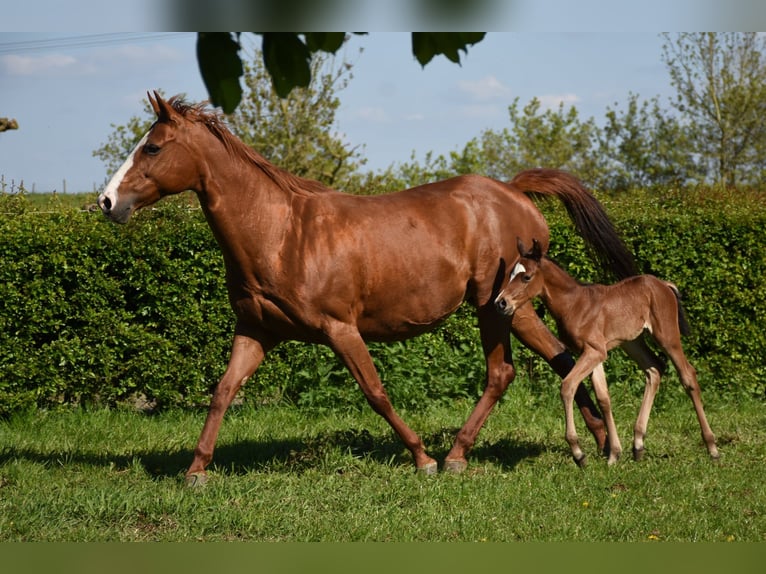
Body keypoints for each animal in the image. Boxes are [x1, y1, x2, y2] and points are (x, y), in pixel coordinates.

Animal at [97, 92, 638, 485]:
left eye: (152, 147)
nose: (106, 202)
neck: (281, 234)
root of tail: (515, 193)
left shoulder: (340, 329)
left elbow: (375, 391)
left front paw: (422, 459)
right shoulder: (257, 331)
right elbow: (223, 391)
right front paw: (196, 471)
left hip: (500, 307)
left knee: (510, 371)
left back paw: (459, 455)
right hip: (503, 309)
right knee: (551, 363)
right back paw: (588, 443)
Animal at [494, 238, 719, 466]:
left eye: (526, 277)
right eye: (510, 274)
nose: (501, 302)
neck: (574, 304)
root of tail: (664, 285)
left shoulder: (594, 352)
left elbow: (567, 386)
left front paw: (578, 453)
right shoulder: (594, 354)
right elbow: (604, 399)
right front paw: (614, 455)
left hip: (667, 335)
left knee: (688, 375)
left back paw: (712, 447)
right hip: (632, 342)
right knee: (655, 368)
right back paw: (638, 444)